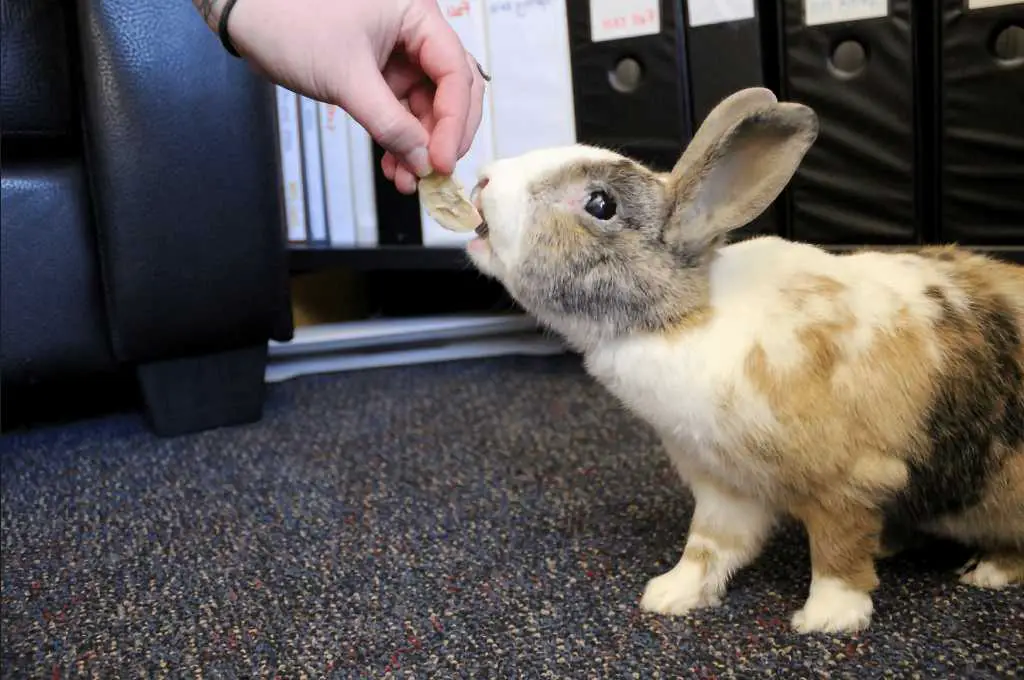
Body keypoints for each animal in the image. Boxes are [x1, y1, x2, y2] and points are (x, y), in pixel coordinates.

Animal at [462, 87, 1024, 634]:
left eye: (601, 203)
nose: (484, 178)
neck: (685, 319)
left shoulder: (846, 482)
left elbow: (837, 553)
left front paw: (828, 619)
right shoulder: (724, 486)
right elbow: (709, 546)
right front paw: (670, 594)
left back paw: (988, 571)